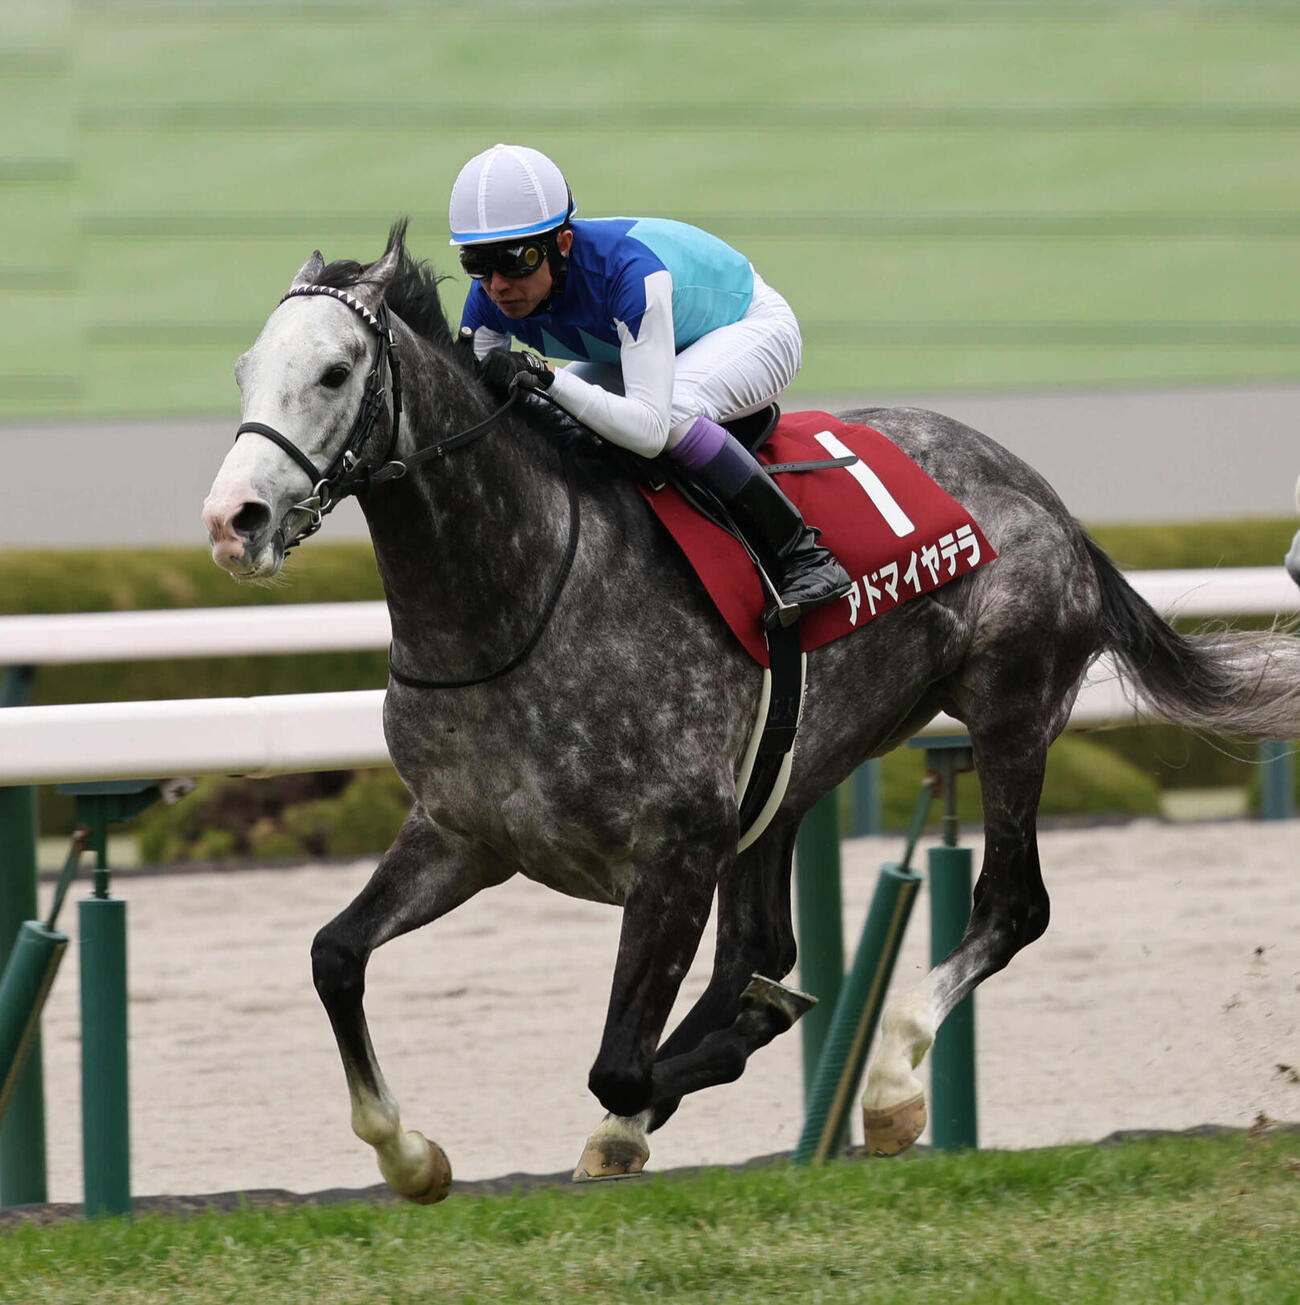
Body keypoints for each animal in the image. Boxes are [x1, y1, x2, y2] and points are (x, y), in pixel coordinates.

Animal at [203, 223, 1300, 1203]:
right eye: (246, 368)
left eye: (335, 371)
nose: (232, 521)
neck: (515, 601)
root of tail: (1044, 495)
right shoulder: (465, 834)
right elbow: (336, 955)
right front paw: (408, 1154)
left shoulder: (677, 850)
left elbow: (620, 1061)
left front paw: (718, 1069)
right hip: (793, 769)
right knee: (761, 943)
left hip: (1010, 707)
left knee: (1008, 905)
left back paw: (890, 1076)